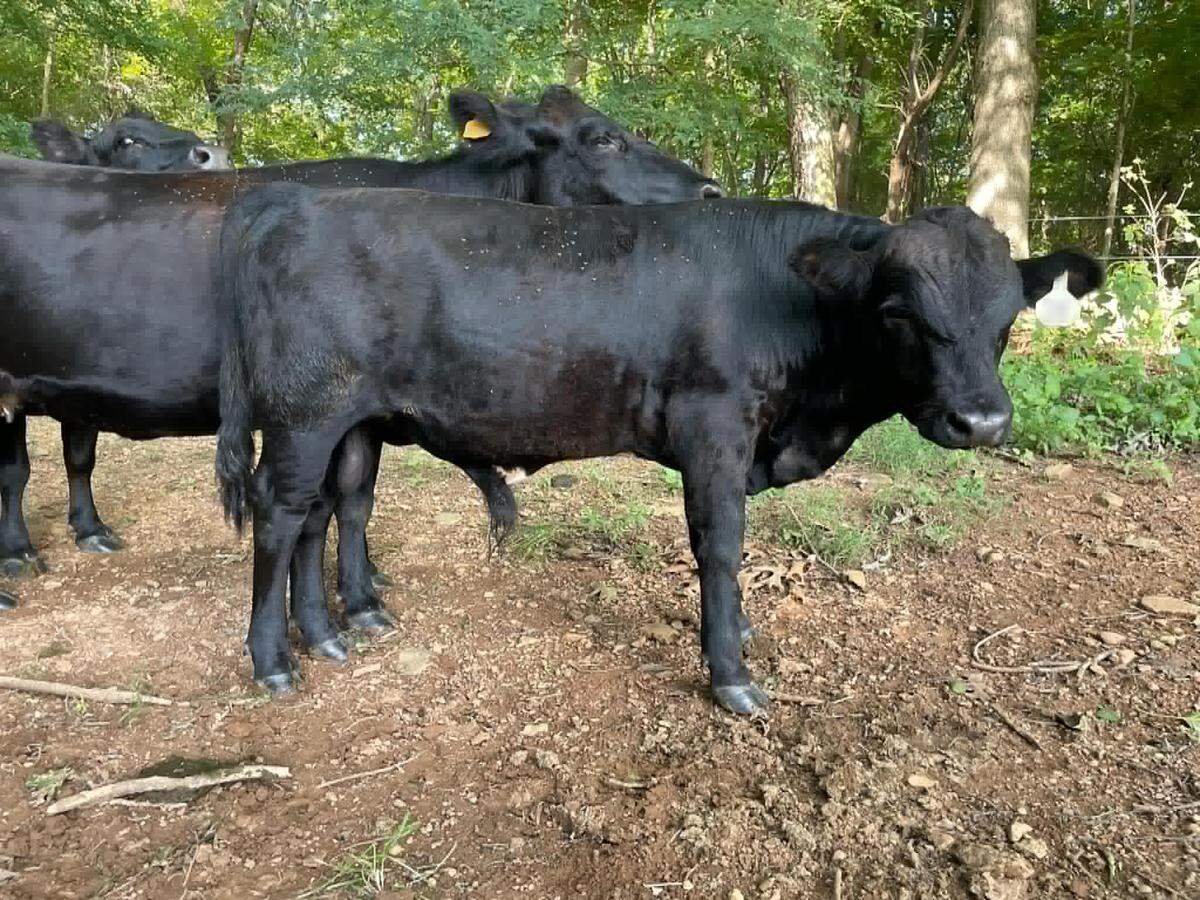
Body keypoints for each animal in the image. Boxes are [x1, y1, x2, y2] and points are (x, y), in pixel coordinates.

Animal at [215, 187, 1103, 712]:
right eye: (899, 314)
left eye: (1008, 317)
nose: (981, 422)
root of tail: (291, 201)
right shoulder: (714, 427)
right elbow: (722, 546)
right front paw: (730, 673)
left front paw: (738, 635)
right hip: (304, 414)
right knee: (280, 514)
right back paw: (273, 659)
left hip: (350, 423)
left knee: (329, 510)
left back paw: (330, 630)